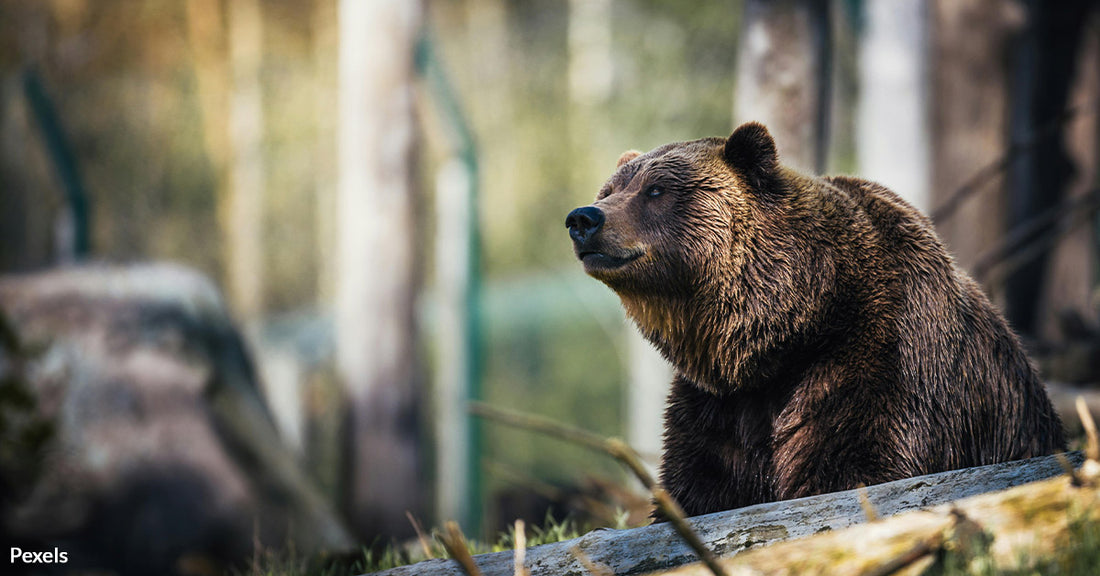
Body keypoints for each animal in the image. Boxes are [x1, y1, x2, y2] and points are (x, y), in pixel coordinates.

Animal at [567, 122, 1064, 516]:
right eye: (609, 191)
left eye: (656, 190)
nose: (583, 218)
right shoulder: (719, 405)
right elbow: (700, 485)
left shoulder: (879, 360)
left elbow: (855, 465)